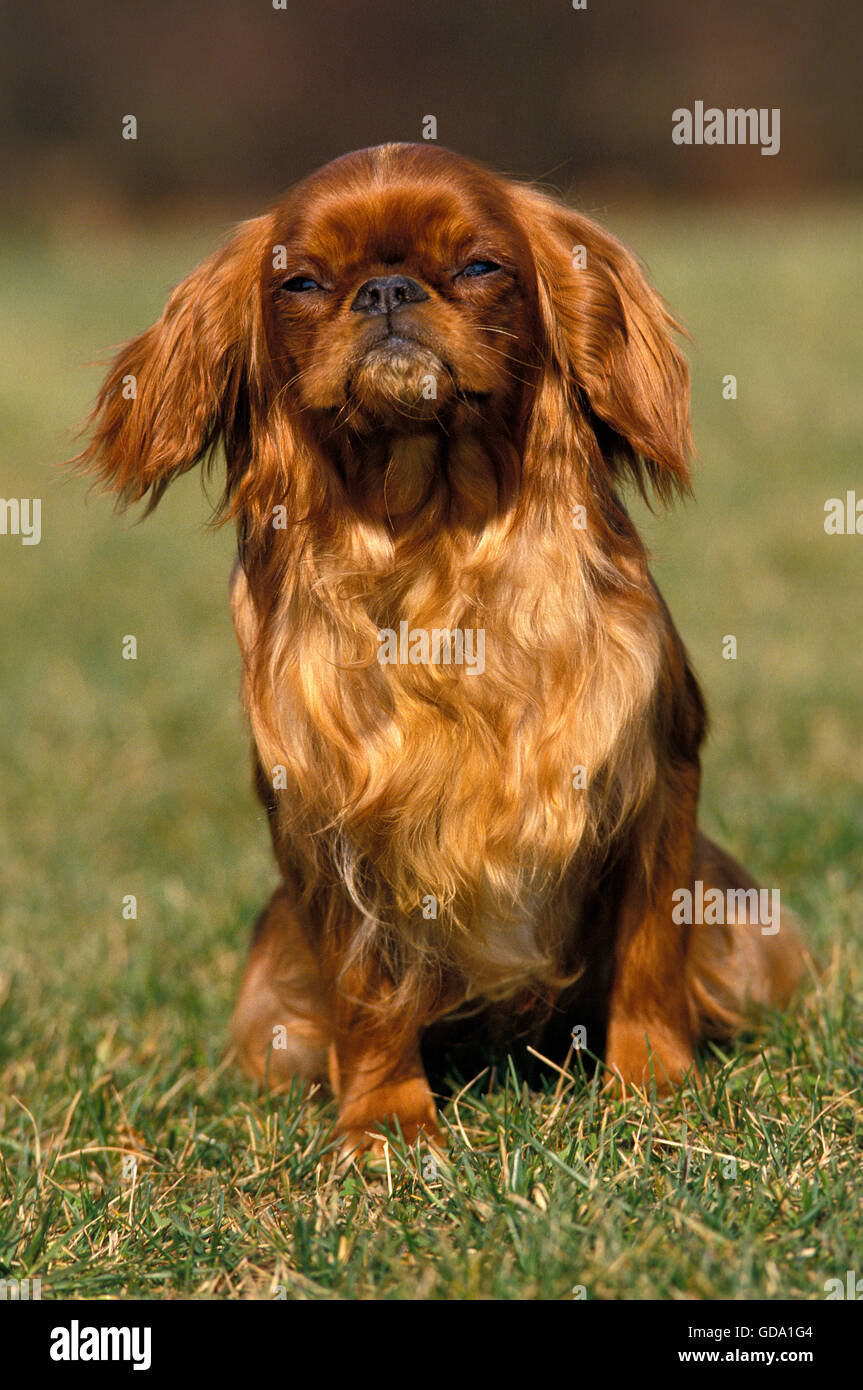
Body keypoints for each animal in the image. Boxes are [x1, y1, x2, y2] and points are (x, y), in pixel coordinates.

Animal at [77, 146, 806, 1156]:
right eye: (301, 283)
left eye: (479, 266)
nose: (387, 290)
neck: (434, 534)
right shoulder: (329, 825)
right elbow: (366, 993)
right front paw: (385, 1127)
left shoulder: (655, 780)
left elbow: (649, 953)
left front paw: (649, 1084)